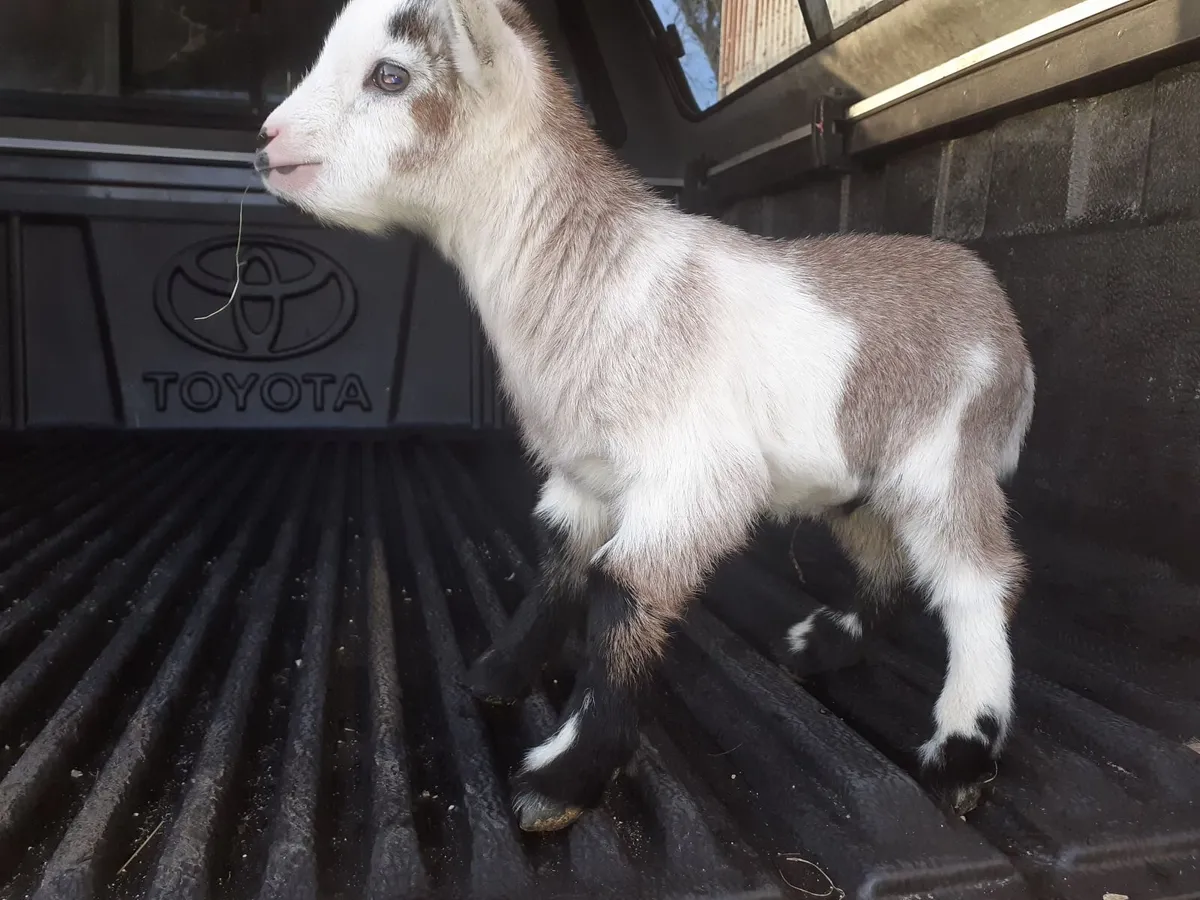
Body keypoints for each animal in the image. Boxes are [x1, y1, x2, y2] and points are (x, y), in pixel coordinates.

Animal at [256, 0, 1036, 831]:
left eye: (391, 76)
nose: (267, 141)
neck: (599, 276)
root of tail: (999, 315)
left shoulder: (691, 483)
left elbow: (620, 594)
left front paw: (565, 776)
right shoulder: (581, 476)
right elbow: (559, 562)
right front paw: (500, 670)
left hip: (944, 455)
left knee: (979, 582)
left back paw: (963, 748)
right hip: (858, 472)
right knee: (885, 558)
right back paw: (823, 642)